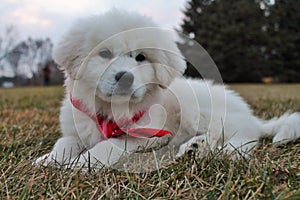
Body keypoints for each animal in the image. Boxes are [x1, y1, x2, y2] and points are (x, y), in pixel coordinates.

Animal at [35, 9, 300, 169]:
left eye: (141, 57)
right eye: (105, 54)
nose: (125, 78)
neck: (110, 112)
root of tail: (252, 118)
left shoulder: (144, 136)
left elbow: (106, 146)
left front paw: (80, 164)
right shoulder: (75, 132)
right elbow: (63, 144)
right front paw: (47, 161)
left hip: (201, 109)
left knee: (241, 140)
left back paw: (216, 151)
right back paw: (194, 148)